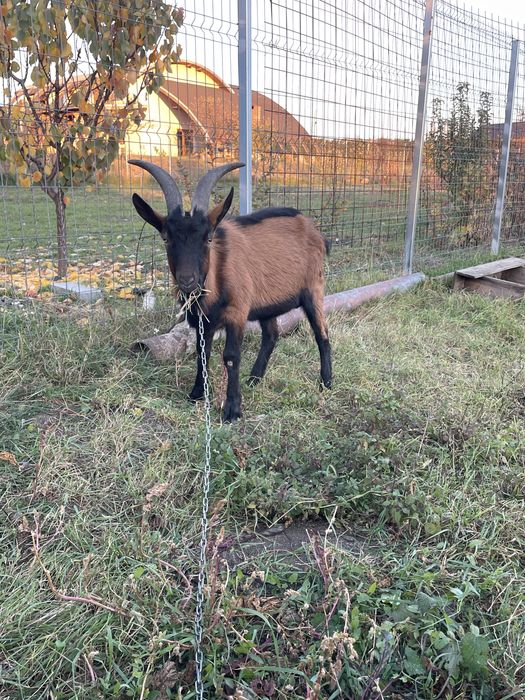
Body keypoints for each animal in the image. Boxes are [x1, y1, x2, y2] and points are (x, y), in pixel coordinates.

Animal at [129, 160, 332, 421]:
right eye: (165, 238)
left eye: (208, 238)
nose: (188, 281)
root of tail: (314, 230)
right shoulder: (202, 321)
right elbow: (202, 353)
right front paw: (197, 393)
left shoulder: (237, 312)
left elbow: (231, 357)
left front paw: (232, 410)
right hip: (267, 304)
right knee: (271, 335)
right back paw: (254, 379)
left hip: (313, 290)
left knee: (322, 334)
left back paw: (326, 382)